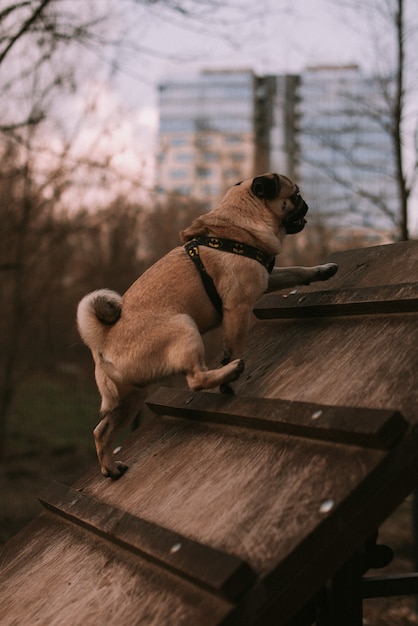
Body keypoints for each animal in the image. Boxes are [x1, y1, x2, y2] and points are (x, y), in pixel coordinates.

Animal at [77, 173, 340, 476]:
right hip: (183, 327)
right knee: (195, 379)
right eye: (295, 195)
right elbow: (234, 344)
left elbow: (296, 271)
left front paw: (321, 270)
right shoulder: (237, 307)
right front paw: (230, 382)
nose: (306, 203)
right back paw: (229, 371)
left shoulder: (266, 278)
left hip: (130, 399)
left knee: (102, 431)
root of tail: (103, 339)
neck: (238, 224)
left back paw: (111, 469)